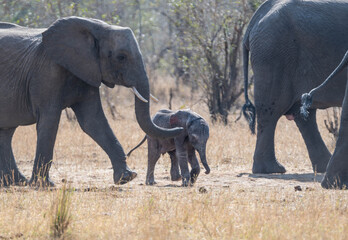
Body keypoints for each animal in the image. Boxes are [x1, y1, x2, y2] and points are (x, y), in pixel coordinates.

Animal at [0, 16, 184, 187]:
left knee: (7, 132)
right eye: (121, 57)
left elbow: (93, 121)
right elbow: (50, 121)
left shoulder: (89, 70)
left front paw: (127, 177)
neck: (95, 28)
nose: (181, 128)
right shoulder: (47, 71)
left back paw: (16, 182)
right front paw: (45, 185)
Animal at [242, 0, 348, 174]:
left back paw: (322, 167)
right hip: (274, 52)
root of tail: (255, 20)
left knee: (303, 115)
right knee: (271, 110)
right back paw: (271, 170)